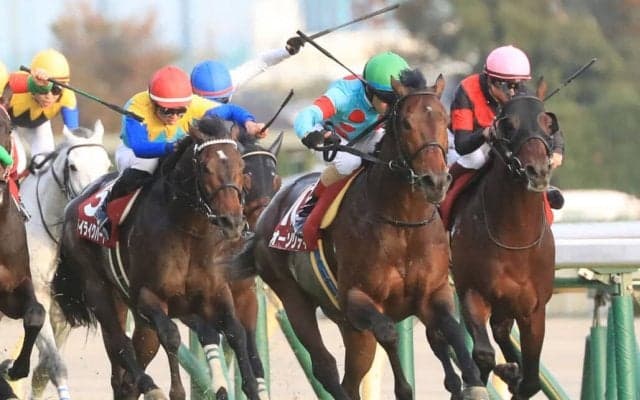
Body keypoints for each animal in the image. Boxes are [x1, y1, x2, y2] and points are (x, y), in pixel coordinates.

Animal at [19, 120, 111, 400]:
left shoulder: (60, 309)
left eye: (106, 164)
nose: (94, 201)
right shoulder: (34, 295)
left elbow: (46, 368)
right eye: (73, 166)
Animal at [52, 115, 261, 400]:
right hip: (98, 291)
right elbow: (171, 336)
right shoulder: (149, 297)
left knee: (127, 373)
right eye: (205, 167)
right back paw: (150, 385)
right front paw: (173, 391)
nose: (232, 221)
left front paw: (250, 389)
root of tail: (73, 205)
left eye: (241, 165)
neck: (188, 233)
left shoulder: (216, 292)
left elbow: (236, 332)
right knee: (119, 343)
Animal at [233, 70, 488, 400]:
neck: (403, 224)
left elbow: (450, 331)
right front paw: (407, 388)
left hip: (346, 323)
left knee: (351, 379)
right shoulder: (357, 299)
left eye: (445, 120)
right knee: (325, 366)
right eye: (406, 123)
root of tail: (268, 211)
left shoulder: (434, 291)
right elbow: (390, 335)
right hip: (294, 299)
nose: (435, 181)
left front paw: (470, 383)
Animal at [449, 90, 556, 399]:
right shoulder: (472, 291)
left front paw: (515, 374)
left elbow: (532, 380)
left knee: (501, 331)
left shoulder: (533, 308)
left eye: (548, 123)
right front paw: (492, 376)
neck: (514, 238)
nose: (537, 171)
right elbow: (482, 355)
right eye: (508, 125)